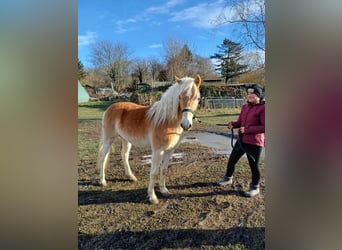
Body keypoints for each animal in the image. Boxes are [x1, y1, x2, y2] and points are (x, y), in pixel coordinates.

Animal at [96, 74, 202, 203]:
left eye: (197, 98)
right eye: (179, 97)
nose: (186, 124)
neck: (166, 120)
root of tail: (110, 108)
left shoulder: (169, 151)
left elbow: (164, 170)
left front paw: (164, 190)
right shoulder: (157, 151)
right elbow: (154, 172)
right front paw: (152, 197)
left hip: (126, 140)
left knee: (124, 155)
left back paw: (131, 177)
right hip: (109, 139)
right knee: (103, 157)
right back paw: (102, 181)